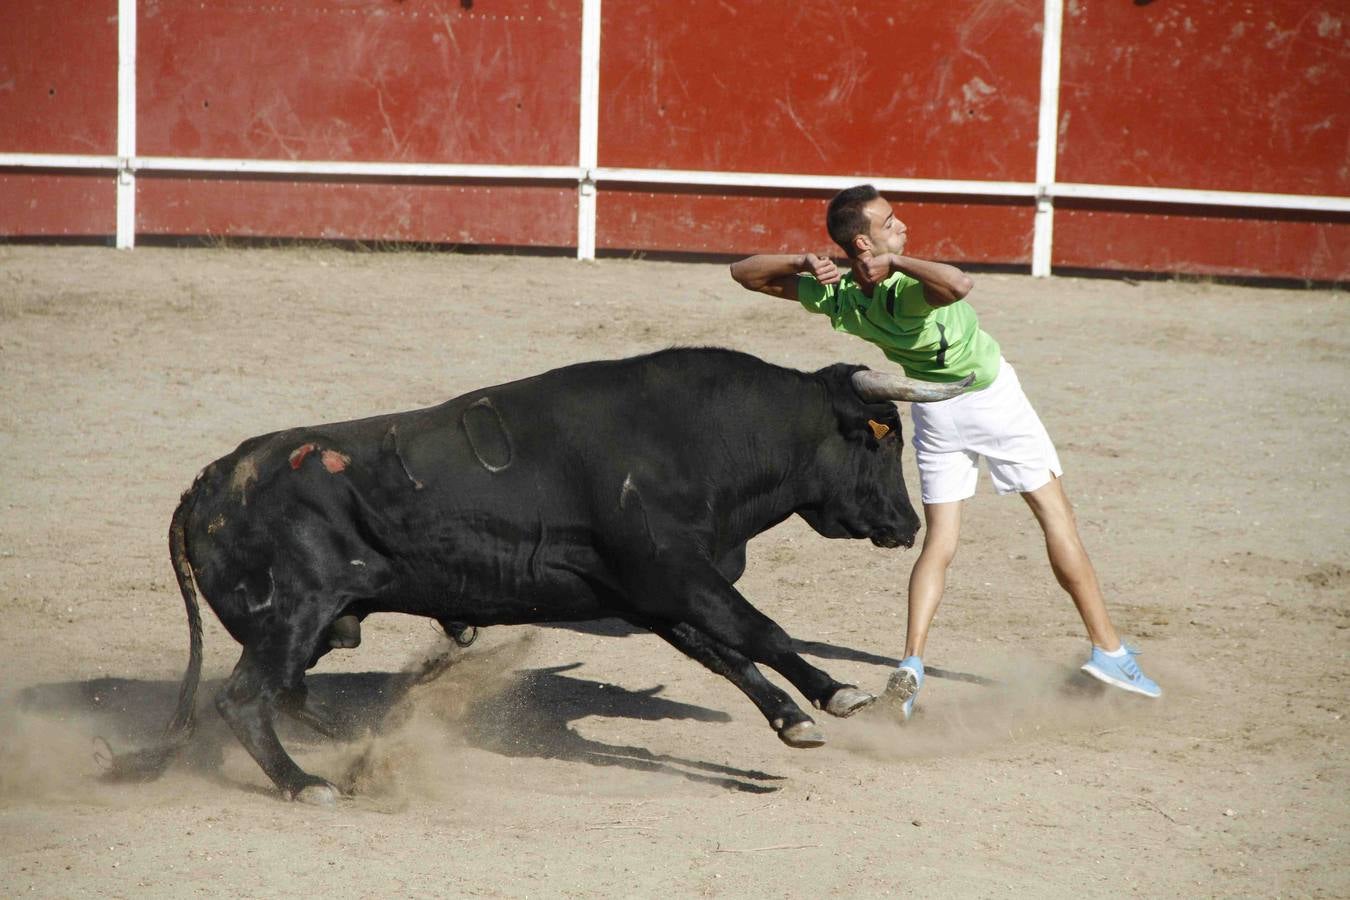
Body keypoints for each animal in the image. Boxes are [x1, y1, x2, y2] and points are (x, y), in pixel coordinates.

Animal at [108, 347, 970, 803]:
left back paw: (356, 742)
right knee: (244, 696)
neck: (701, 437)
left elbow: (730, 653)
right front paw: (840, 694)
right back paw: (305, 782)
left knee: (281, 690)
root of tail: (205, 485)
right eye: (882, 439)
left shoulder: (653, 596)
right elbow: (759, 629)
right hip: (296, 611)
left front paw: (793, 720)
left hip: (318, 623)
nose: (907, 525)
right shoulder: (675, 573)